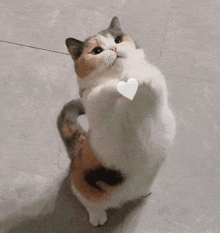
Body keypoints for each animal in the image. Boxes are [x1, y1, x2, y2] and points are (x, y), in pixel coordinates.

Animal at [58, 16, 175, 228]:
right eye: (97, 51)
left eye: (118, 40)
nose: (113, 48)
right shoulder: (95, 103)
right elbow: (102, 91)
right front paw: (122, 82)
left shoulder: (158, 90)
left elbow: (152, 79)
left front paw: (138, 74)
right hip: (82, 184)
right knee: (89, 202)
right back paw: (97, 216)